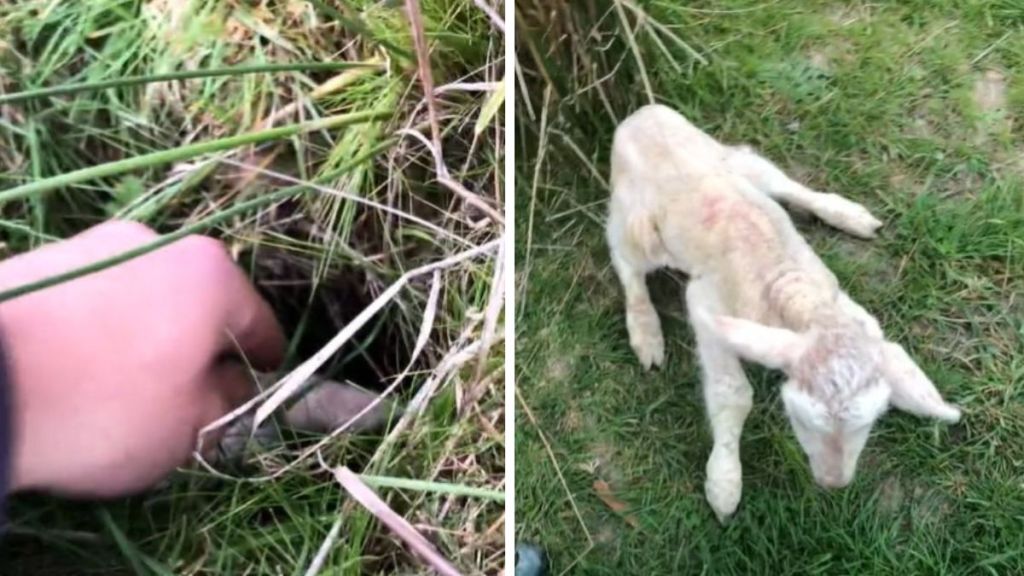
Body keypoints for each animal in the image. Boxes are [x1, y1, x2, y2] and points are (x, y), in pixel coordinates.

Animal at [606, 103, 958, 520]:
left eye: (869, 422)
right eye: (801, 420)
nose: (833, 484)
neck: (791, 293)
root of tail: (640, 115)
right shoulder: (705, 305)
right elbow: (733, 394)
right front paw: (725, 484)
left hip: (738, 161)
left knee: (785, 184)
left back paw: (850, 215)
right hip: (637, 222)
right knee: (624, 258)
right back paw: (646, 333)